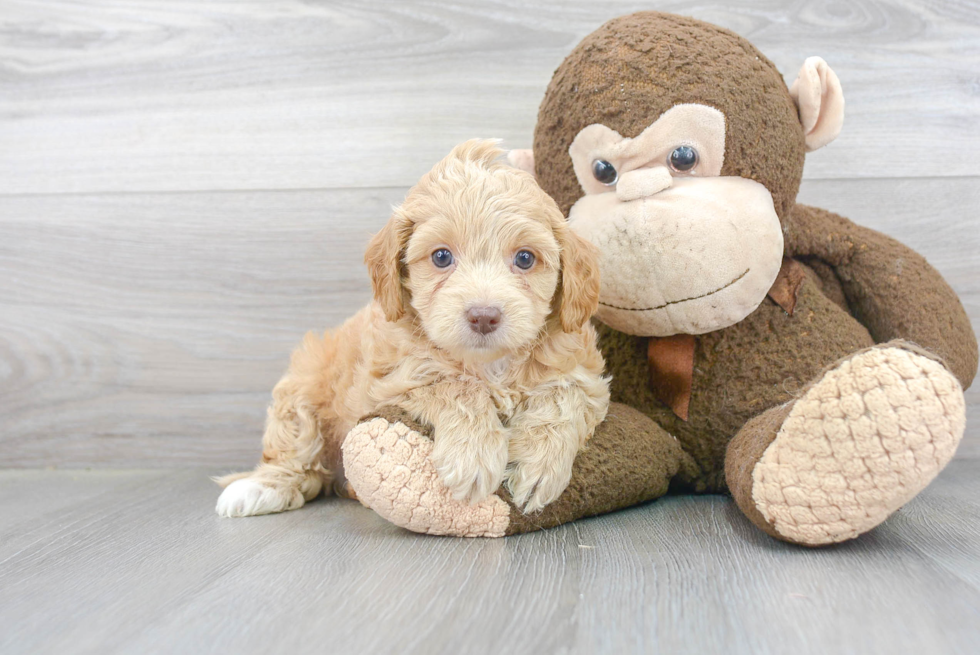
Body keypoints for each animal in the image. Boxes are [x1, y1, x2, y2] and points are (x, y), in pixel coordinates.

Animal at [218, 141, 608, 520]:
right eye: (441, 257)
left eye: (525, 258)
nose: (483, 316)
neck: (489, 365)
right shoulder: (389, 383)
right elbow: (455, 385)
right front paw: (473, 456)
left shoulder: (585, 375)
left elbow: (564, 396)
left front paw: (537, 465)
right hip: (304, 387)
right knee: (296, 454)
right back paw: (258, 488)